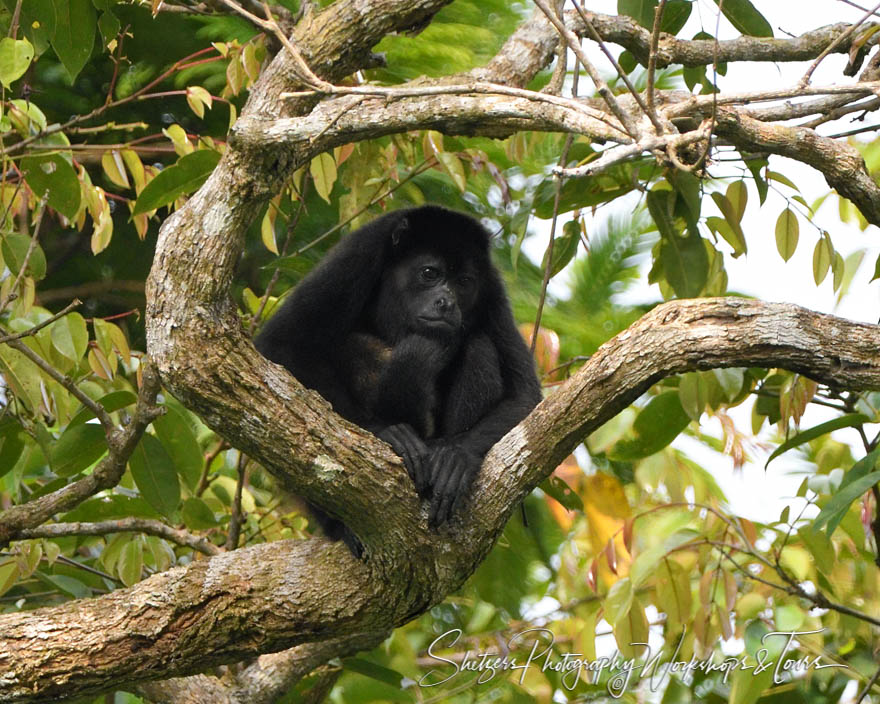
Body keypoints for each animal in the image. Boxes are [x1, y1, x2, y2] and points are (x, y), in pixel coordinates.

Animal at [256, 204, 544, 552]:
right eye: (430, 273)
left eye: (464, 281)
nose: (447, 302)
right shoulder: (358, 254)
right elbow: (280, 346)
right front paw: (385, 432)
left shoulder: (492, 290)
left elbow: (524, 397)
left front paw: (457, 456)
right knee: (352, 344)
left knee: (479, 346)